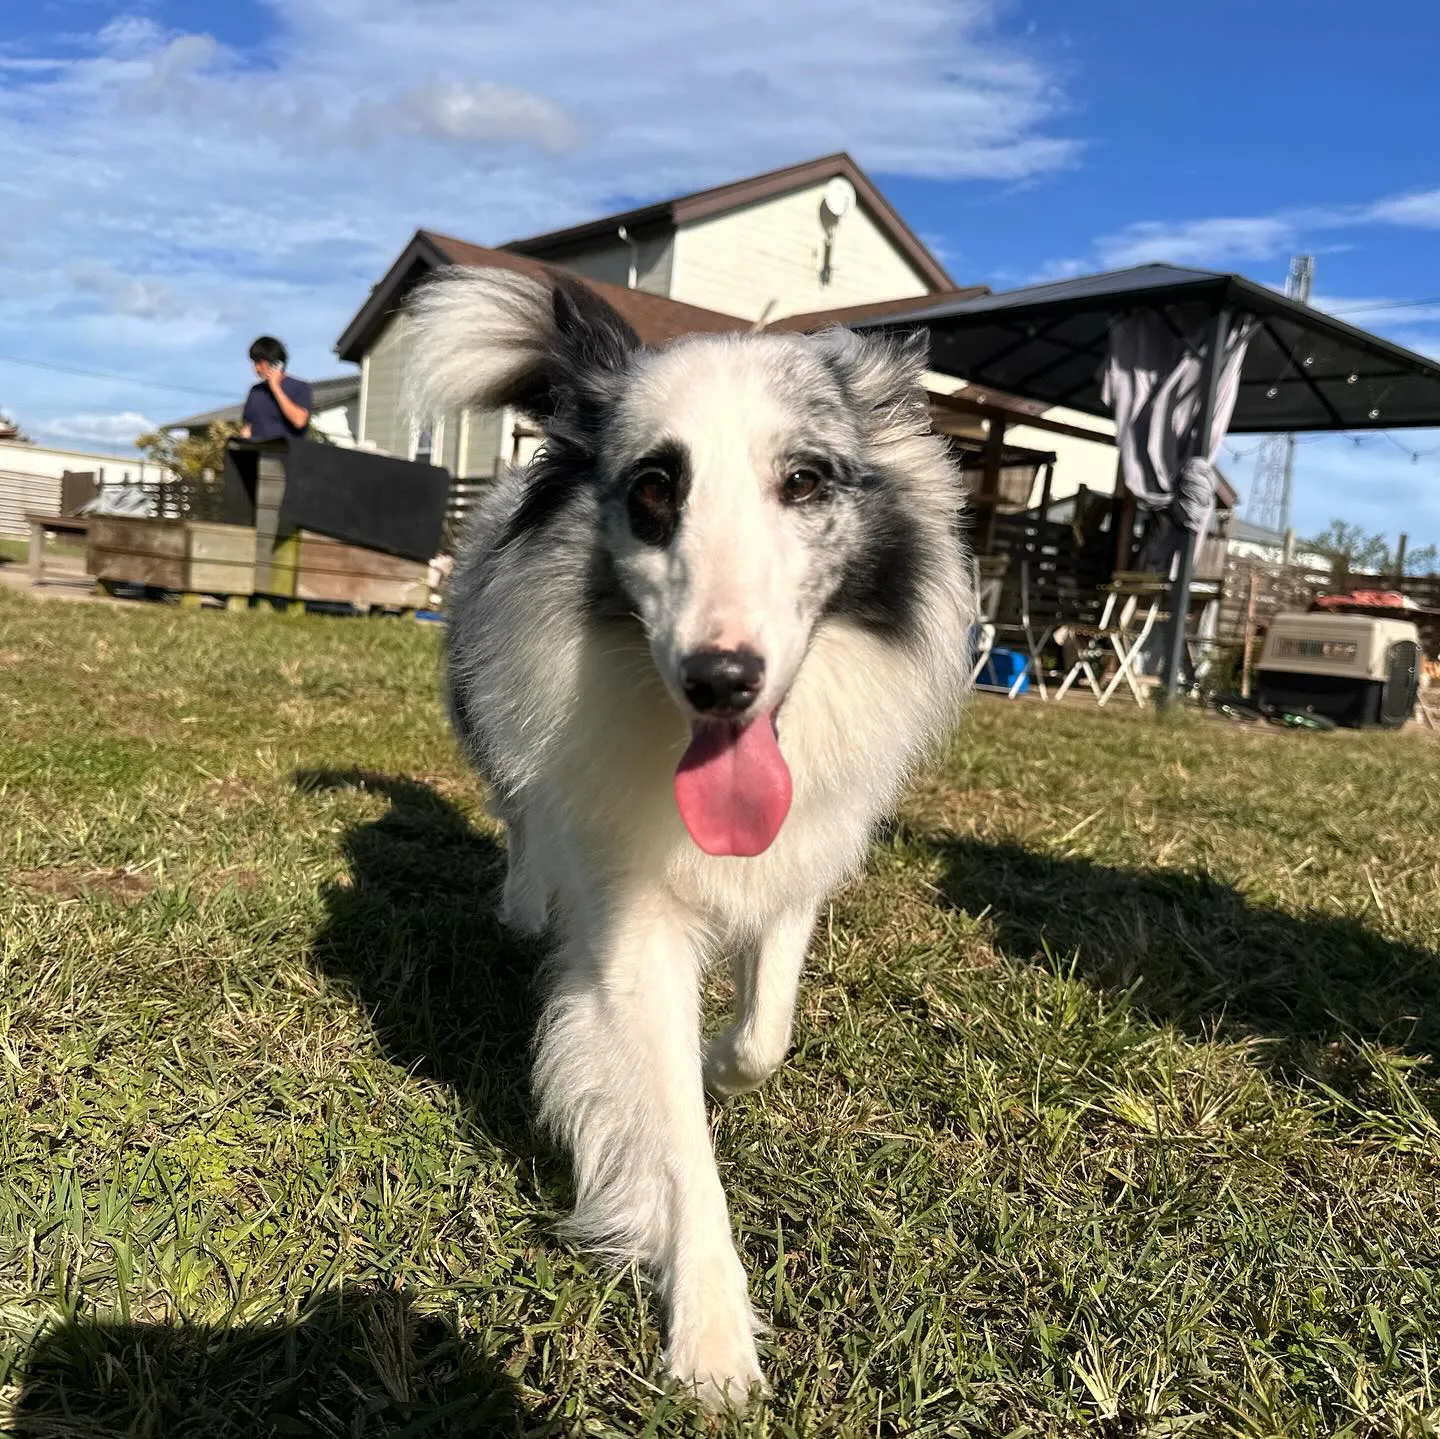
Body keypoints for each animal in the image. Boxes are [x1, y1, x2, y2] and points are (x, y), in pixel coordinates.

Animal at [400, 267, 973, 1405]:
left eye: (805, 479)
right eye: (656, 487)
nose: (721, 679)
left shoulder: (796, 869)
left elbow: (765, 1032)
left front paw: (721, 1058)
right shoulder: (635, 931)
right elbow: (675, 1138)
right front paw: (710, 1335)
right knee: (523, 820)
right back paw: (525, 904)